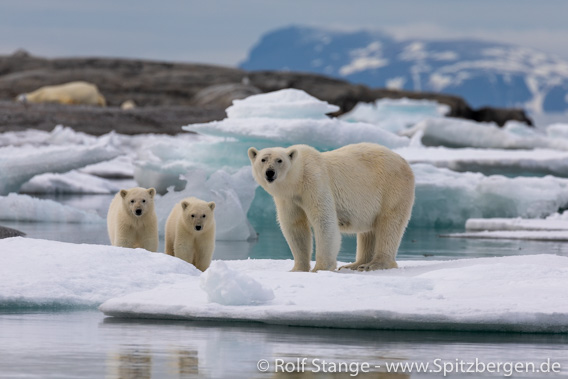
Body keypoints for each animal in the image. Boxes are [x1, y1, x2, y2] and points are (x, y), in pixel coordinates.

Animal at [247, 143, 412, 274]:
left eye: (279, 160)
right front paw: (297, 269)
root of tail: (405, 162)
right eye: (263, 159)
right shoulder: (288, 199)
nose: (270, 172)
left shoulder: (314, 182)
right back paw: (356, 264)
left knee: (389, 225)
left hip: (392, 189)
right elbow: (295, 226)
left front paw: (320, 268)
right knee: (369, 232)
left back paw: (374, 264)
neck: (298, 178)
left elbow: (324, 221)